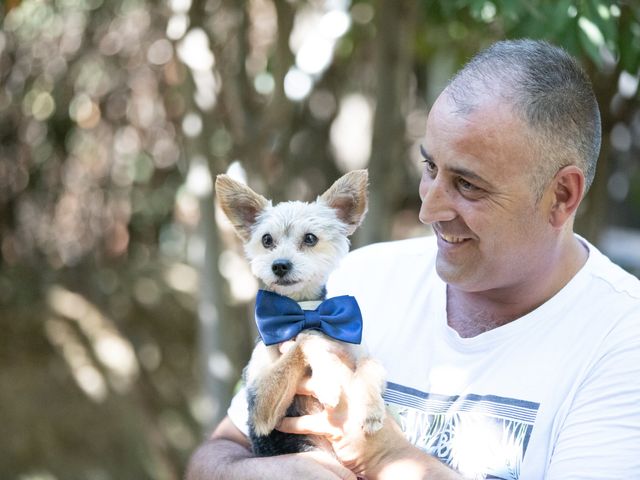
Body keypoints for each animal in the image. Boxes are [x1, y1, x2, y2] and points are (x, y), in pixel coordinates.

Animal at [215, 171, 384, 456]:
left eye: (310, 238)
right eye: (266, 240)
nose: (280, 265)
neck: (304, 311)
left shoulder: (358, 351)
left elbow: (371, 365)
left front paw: (371, 410)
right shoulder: (259, 407)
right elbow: (308, 337)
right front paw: (327, 382)